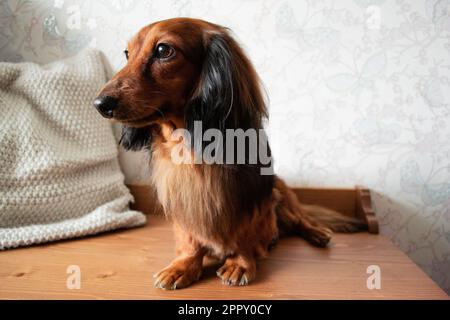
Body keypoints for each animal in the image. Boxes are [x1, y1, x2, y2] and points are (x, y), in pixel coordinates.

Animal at [92, 17, 366, 290]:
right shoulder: (183, 198)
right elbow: (190, 239)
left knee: (302, 219)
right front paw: (183, 266)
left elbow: (244, 233)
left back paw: (316, 233)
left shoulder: (249, 197)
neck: (191, 148)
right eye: (127, 53)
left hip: (280, 191)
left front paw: (240, 263)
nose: (100, 104)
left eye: (163, 50)